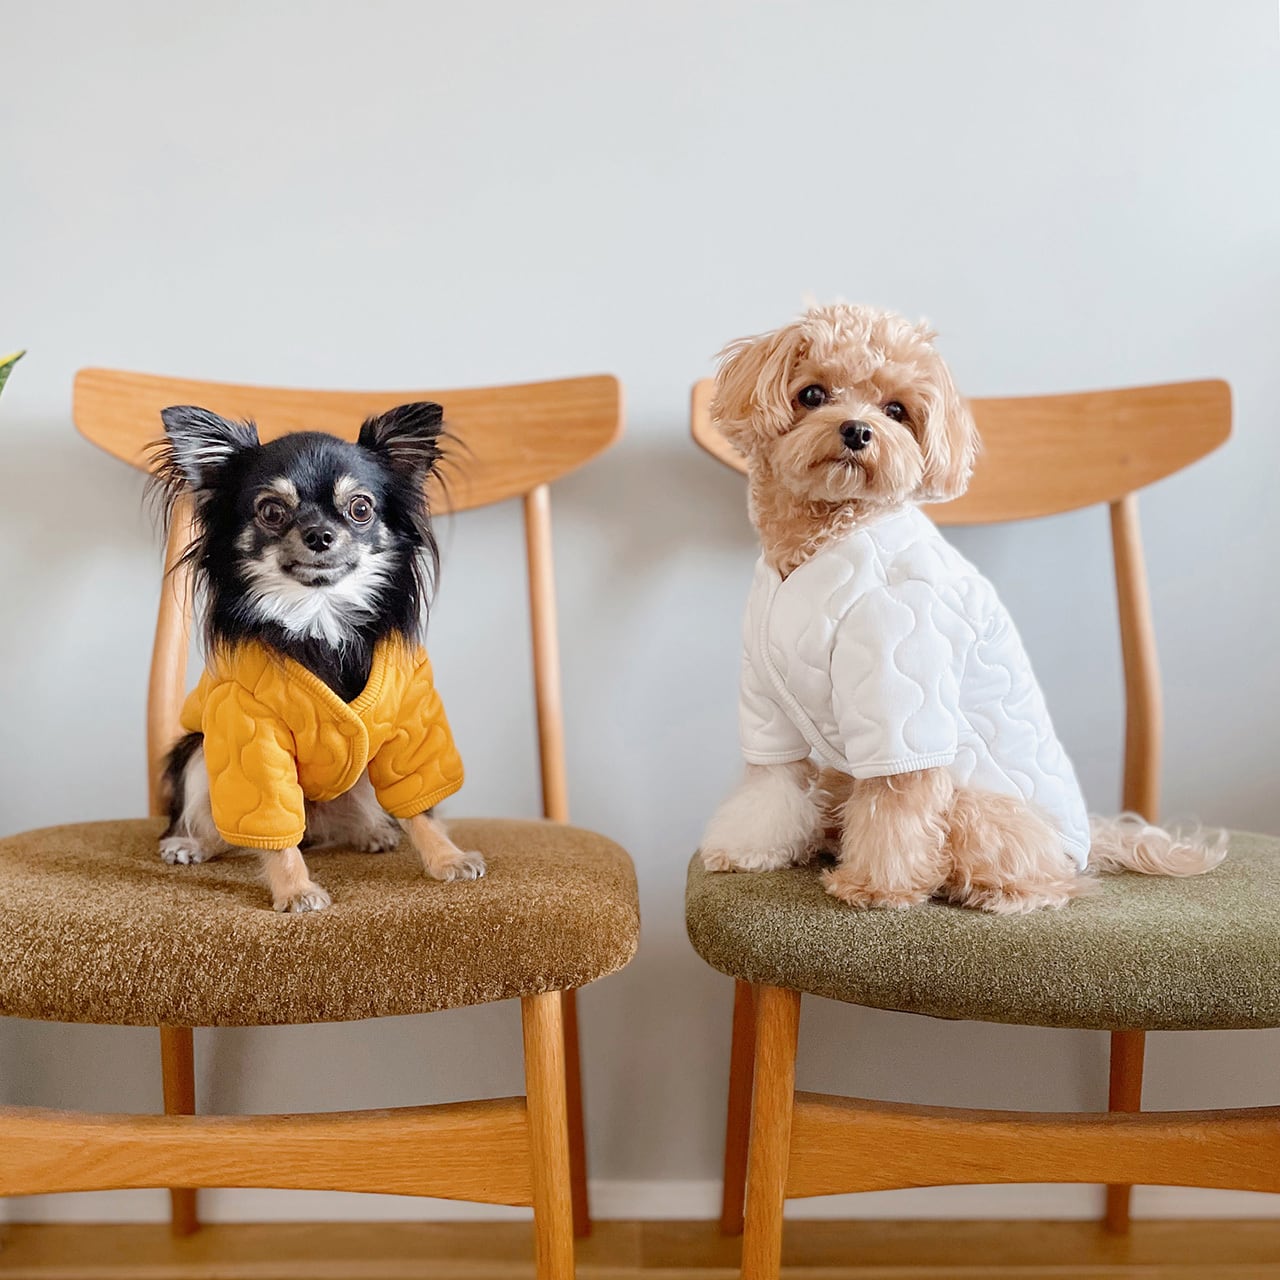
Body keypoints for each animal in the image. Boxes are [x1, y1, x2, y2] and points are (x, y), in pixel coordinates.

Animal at [150, 401, 484, 913]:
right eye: (271, 511)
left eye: (361, 508)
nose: (320, 534)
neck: (319, 614)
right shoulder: (251, 735)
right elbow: (272, 828)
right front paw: (296, 890)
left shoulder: (412, 726)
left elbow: (422, 805)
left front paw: (448, 858)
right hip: (197, 751)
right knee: (229, 829)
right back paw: (191, 844)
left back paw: (372, 831)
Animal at [699, 303, 1225, 913]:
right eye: (812, 394)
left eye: (896, 410)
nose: (857, 430)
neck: (828, 534)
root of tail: (1091, 842)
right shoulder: (766, 702)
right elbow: (771, 786)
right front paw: (748, 850)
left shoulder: (901, 688)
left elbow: (898, 800)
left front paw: (876, 886)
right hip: (842, 776)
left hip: (981, 808)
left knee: (1048, 878)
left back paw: (997, 891)